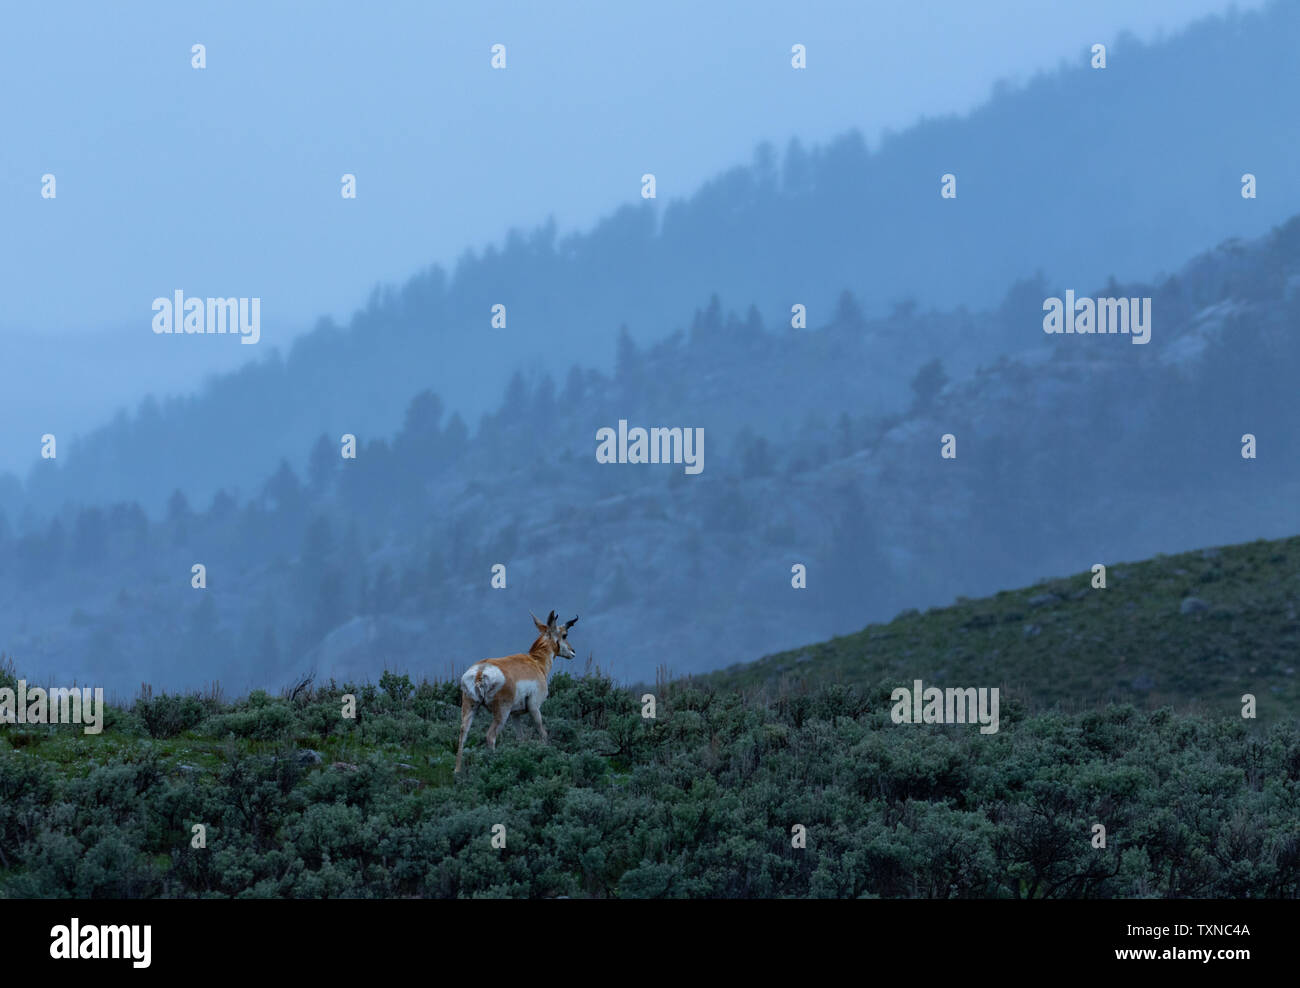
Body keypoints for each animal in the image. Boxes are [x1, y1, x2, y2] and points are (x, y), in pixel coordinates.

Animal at [457, 611, 579, 769]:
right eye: (564, 635)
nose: (573, 651)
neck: (536, 662)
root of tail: (480, 671)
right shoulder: (534, 708)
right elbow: (542, 732)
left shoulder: (516, 715)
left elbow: (520, 738)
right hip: (502, 713)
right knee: (490, 736)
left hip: (470, 707)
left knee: (462, 736)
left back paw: (457, 771)